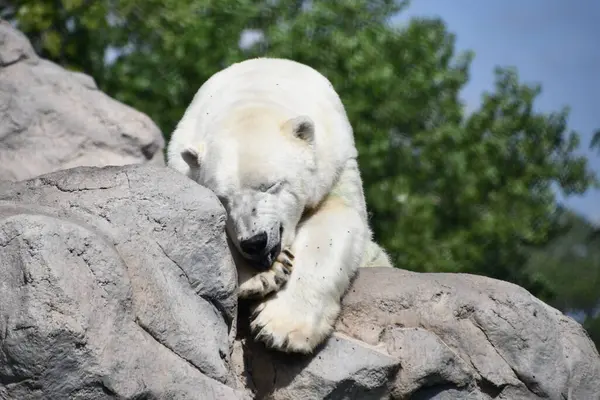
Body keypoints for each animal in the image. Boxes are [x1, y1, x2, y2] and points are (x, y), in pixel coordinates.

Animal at [166, 57, 392, 354]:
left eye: (270, 185)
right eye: (223, 198)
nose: (254, 242)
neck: (253, 96)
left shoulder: (336, 163)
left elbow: (335, 220)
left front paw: (279, 328)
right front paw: (263, 277)